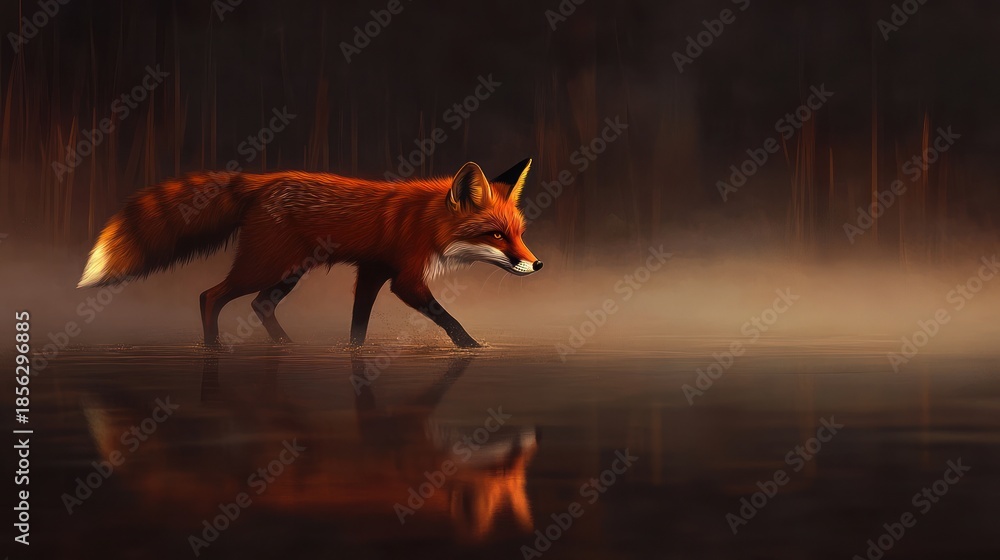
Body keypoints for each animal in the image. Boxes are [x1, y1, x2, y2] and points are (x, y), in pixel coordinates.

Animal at [77, 159, 542, 347]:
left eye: (519, 234)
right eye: (496, 235)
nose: (537, 264)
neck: (424, 221)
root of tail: (259, 180)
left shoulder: (372, 271)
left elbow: (358, 324)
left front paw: (354, 351)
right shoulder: (405, 279)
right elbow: (448, 317)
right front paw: (472, 347)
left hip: (287, 271)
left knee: (261, 305)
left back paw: (285, 344)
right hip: (264, 266)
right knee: (210, 296)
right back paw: (213, 348)